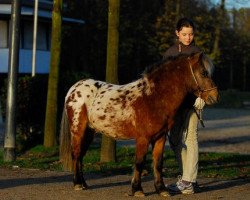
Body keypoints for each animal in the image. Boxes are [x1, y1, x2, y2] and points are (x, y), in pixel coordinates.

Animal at [59, 52, 218, 197]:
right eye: (204, 73)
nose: (215, 97)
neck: (153, 97)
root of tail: (74, 88)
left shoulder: (160, 138)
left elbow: (158, 163)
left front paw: (161, 189)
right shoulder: (143, 138)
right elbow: (139, 162)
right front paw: (137, 189)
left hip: (89, 132)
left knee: (80, 156)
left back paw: (83, 183)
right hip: (78, 130)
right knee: (76, 154)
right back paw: (78, 184)